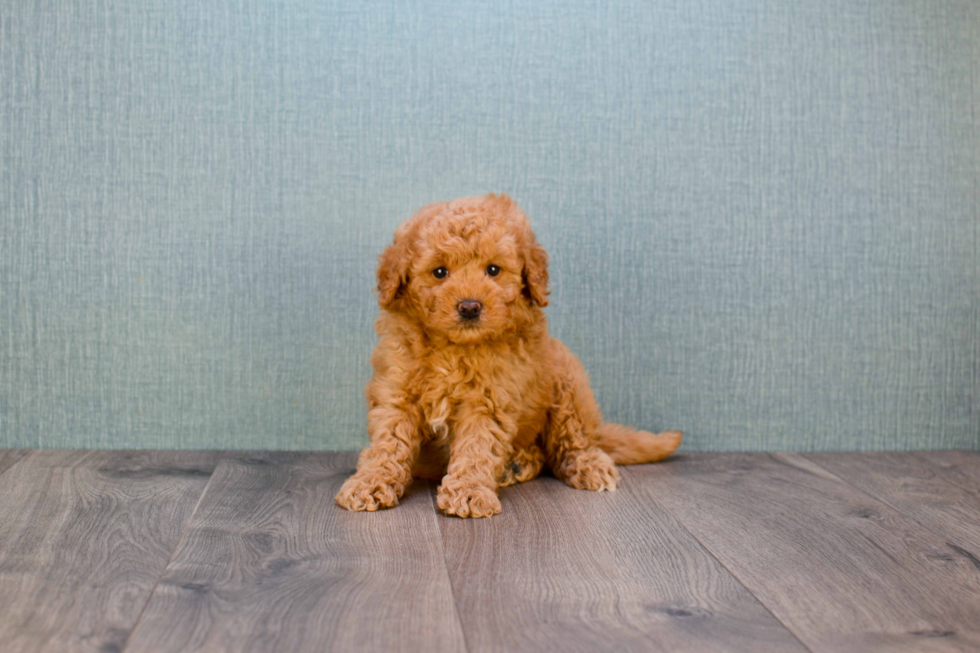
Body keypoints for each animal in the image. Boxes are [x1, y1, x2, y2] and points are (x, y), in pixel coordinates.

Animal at [336, 191, 680, 516]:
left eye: (493, 270)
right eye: (439, 272)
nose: (469, 306)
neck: (453, 349)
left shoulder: (488, 399)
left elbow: (477, 448)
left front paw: (469, 492)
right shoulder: (396, 392)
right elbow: (388, 443)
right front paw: (369, 482)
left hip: (566, 378)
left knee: (574, 439)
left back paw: (584, 465)